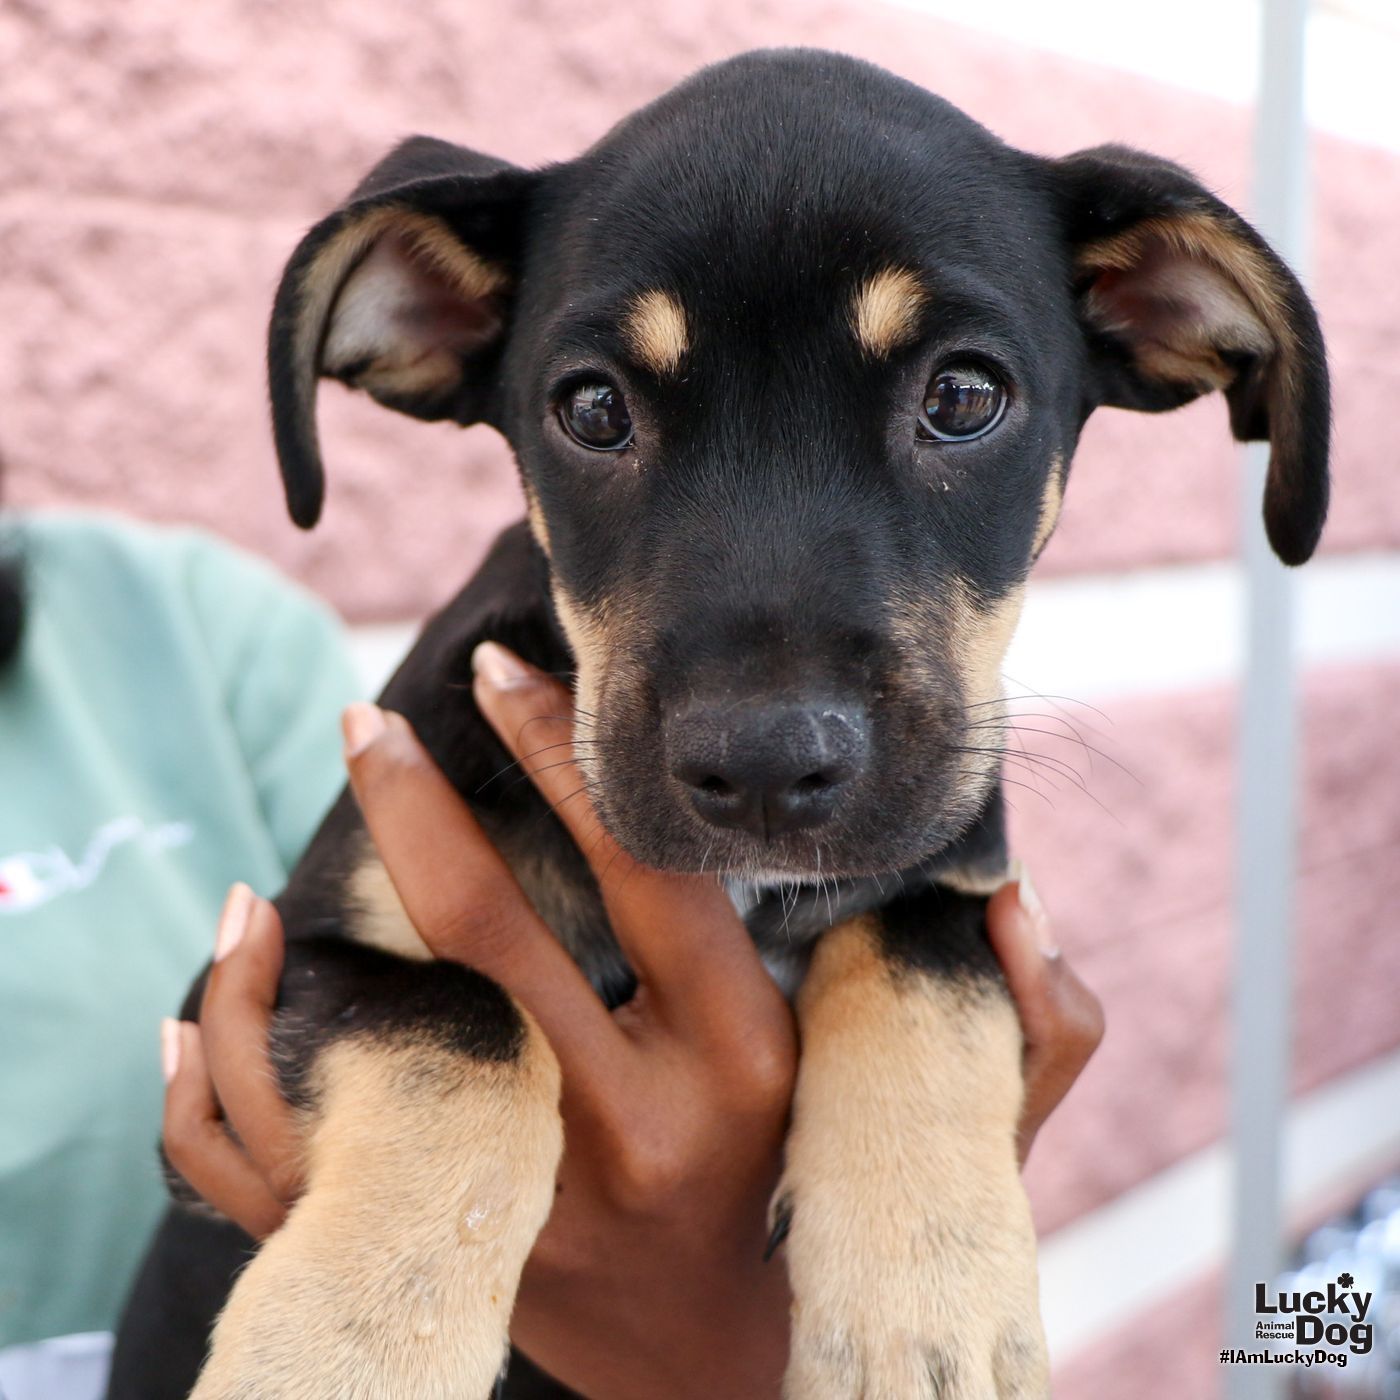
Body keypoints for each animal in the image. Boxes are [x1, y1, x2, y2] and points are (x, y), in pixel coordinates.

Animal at [114, 46, 1327, 1400]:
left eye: (963, 397)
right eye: (591, 410)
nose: (762, 768)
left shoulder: (964, 886)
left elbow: (919, 960)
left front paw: (922, 1302)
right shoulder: (247, 986)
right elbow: (466, 1019)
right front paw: (346, 1342)